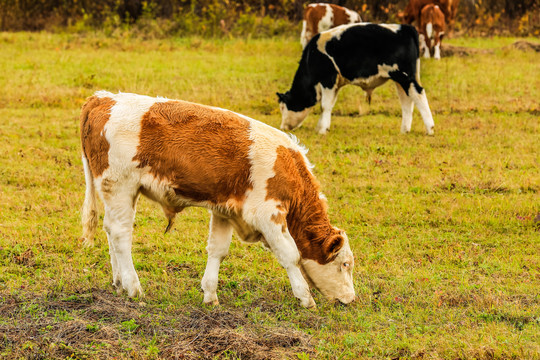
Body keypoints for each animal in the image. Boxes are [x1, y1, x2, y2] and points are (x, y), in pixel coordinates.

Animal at [80, 91, 356, 308]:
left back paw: (118, 282)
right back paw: (133, 286)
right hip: (121, 186)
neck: (287, 165)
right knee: (121, 234)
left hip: (117, 192)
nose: (351, 299)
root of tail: (102, 98)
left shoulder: (225, 210)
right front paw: (305, 298)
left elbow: (218, 250)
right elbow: (291, 255)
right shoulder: (268, 214)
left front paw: (210, 295)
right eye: (345, 264)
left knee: (110, 230)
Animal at [278, 22, 434, 135]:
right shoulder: (335, 84)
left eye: (283, 107)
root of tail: (405, 27)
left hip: (404, 76)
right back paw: (404, 130)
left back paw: (430, 129)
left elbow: (325, 105)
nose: (282, 127)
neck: (312, 55)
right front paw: (321, 127)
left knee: (418, 94)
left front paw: (322, 130)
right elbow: (329, 105)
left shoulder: (328, 79)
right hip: (399, 79)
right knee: (406, 100)